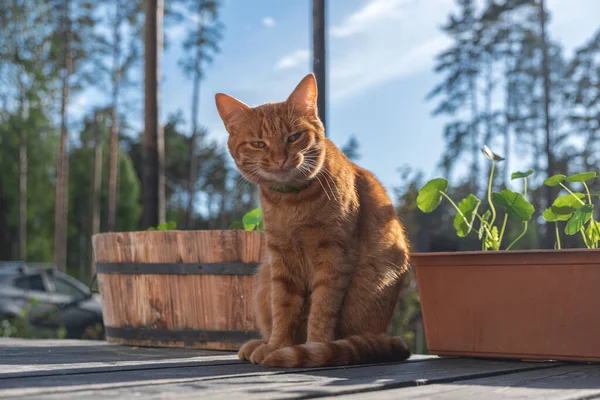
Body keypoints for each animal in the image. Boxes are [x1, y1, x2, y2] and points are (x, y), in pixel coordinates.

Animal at [213, 73, 410, 368]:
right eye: (259, 144)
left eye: (294, 137)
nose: (280, 159)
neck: (293, 203)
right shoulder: (281, 259)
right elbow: (282, 308)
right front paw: (278, 346)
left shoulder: (334, 254)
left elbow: (323, 307)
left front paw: (314, 347)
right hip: (264, 276)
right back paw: (260, 344)